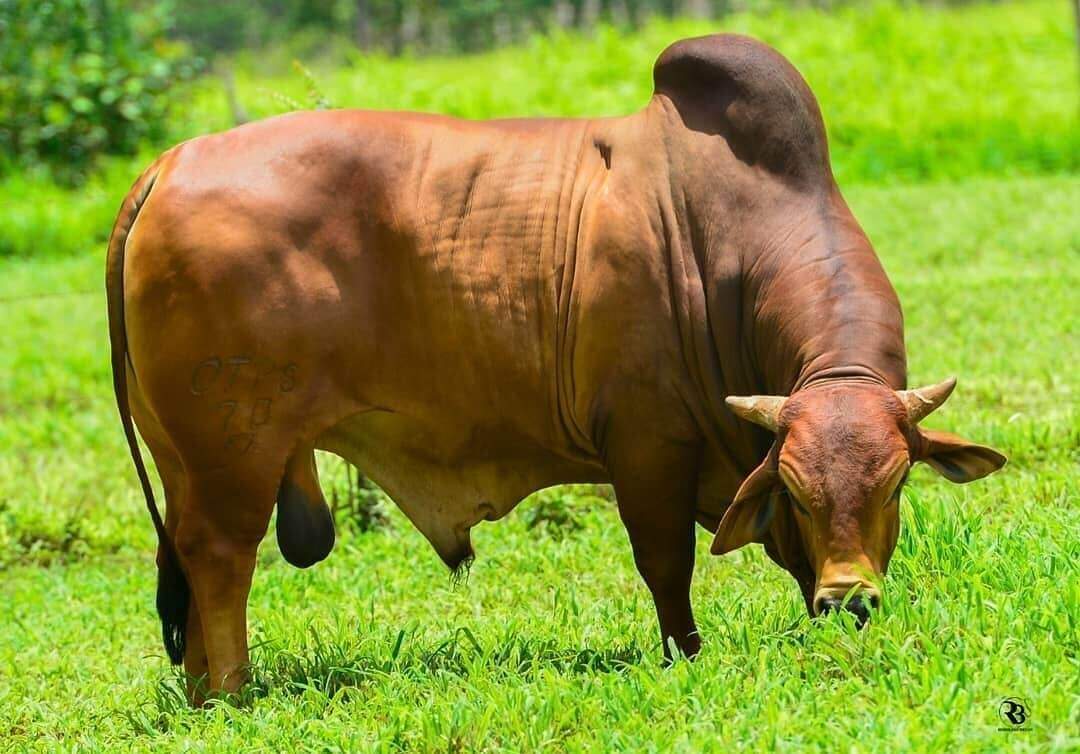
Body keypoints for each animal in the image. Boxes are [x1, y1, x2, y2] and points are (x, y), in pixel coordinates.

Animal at [107, 33, 1002, 699]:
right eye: (800, 492)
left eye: (895, 484)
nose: (850, 601)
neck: (725, 242)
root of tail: (169, 162)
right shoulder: (647, 445)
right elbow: (666, 564)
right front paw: (687, 657)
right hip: (236, 455)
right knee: (221, 558)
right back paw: (234, 692)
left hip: (186, 457)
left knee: (187, 555)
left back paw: (201, 691)